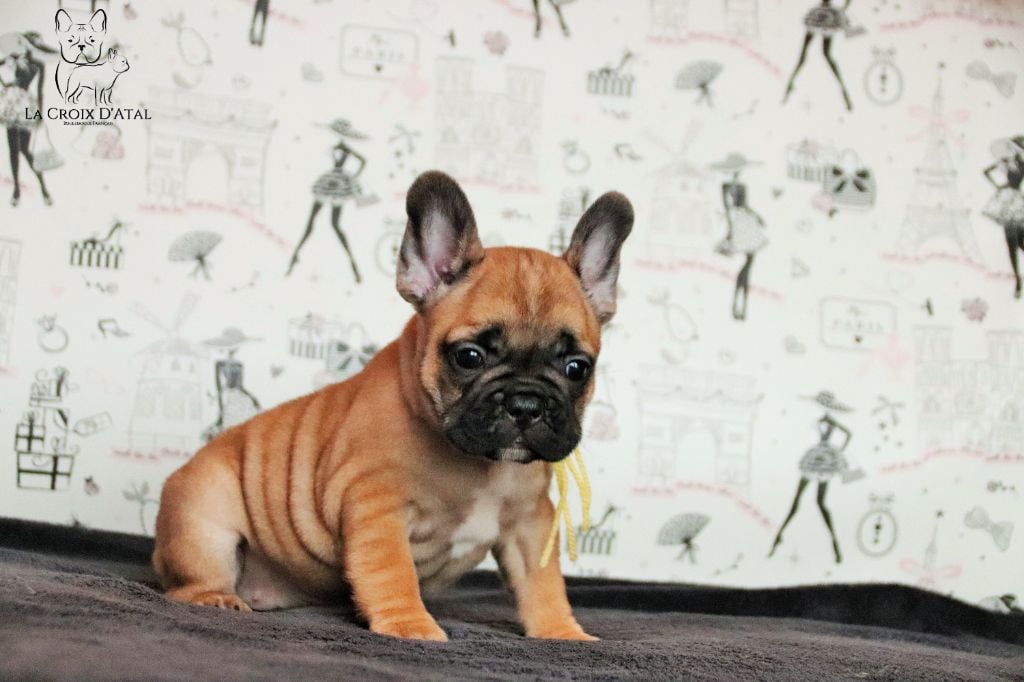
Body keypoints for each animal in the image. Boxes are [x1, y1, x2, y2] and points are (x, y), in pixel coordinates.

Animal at [153, 170, 633, 641]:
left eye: (577, 368)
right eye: (469, 357)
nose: (526, 402)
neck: (479, 464)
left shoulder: (530, 523)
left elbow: (543, 582)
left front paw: (561, 632)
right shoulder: (376, 506)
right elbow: (392, 571)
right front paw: (410, 625)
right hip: (202, 523)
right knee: (189, 581)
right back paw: (215, 597)